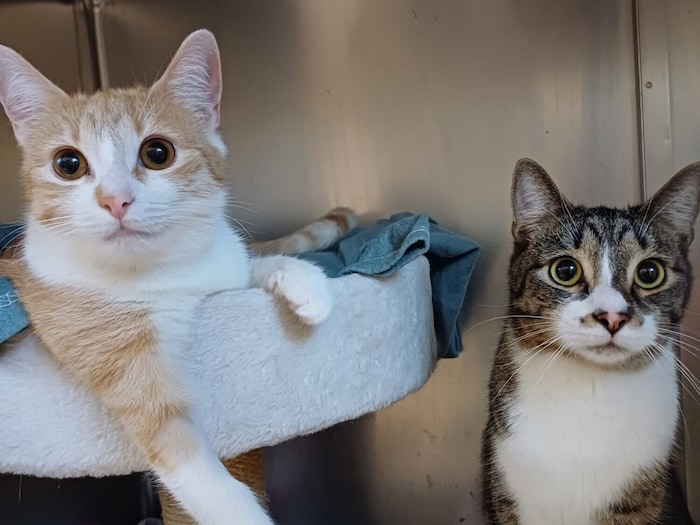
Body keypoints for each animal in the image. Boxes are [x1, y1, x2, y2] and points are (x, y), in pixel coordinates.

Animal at [0, 30, 356, 525]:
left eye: (157, 153)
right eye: (68, 164)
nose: (115, 200)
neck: (163, 272)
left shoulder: (221, 270)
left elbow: (250, 263)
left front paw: (305, 282)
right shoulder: (121, 359)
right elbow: (181, 450)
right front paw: (240, 512)